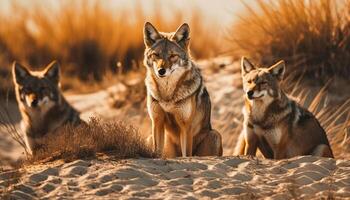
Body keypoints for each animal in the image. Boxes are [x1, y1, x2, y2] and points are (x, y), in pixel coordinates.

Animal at [143, 22, 223, 158]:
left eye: (172, 56)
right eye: (156, 55)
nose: (161, 71)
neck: (167, 95)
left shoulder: (186, 126)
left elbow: (186, 155)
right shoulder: (157, 122)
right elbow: (157, 152)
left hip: (215, 135)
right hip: (149, 138)